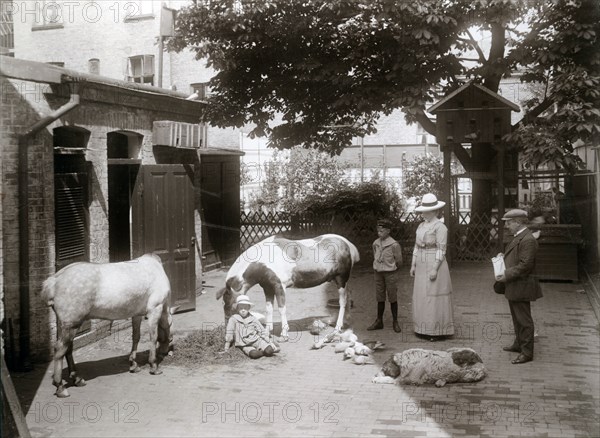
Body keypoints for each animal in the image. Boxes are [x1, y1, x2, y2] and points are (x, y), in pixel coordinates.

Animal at [220, 233, 360, 338]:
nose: (228, 332)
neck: (264, 260)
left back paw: (337, 327)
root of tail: (348, 244)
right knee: (348, 296)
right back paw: (346, 322)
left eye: (234, 307)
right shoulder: (267, 288)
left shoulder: (279, 286)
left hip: (341, 279)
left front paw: (284, 333)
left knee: (342, 301)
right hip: (339, 280)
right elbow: (269, 308)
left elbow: (282, 308)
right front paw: (267, 331)